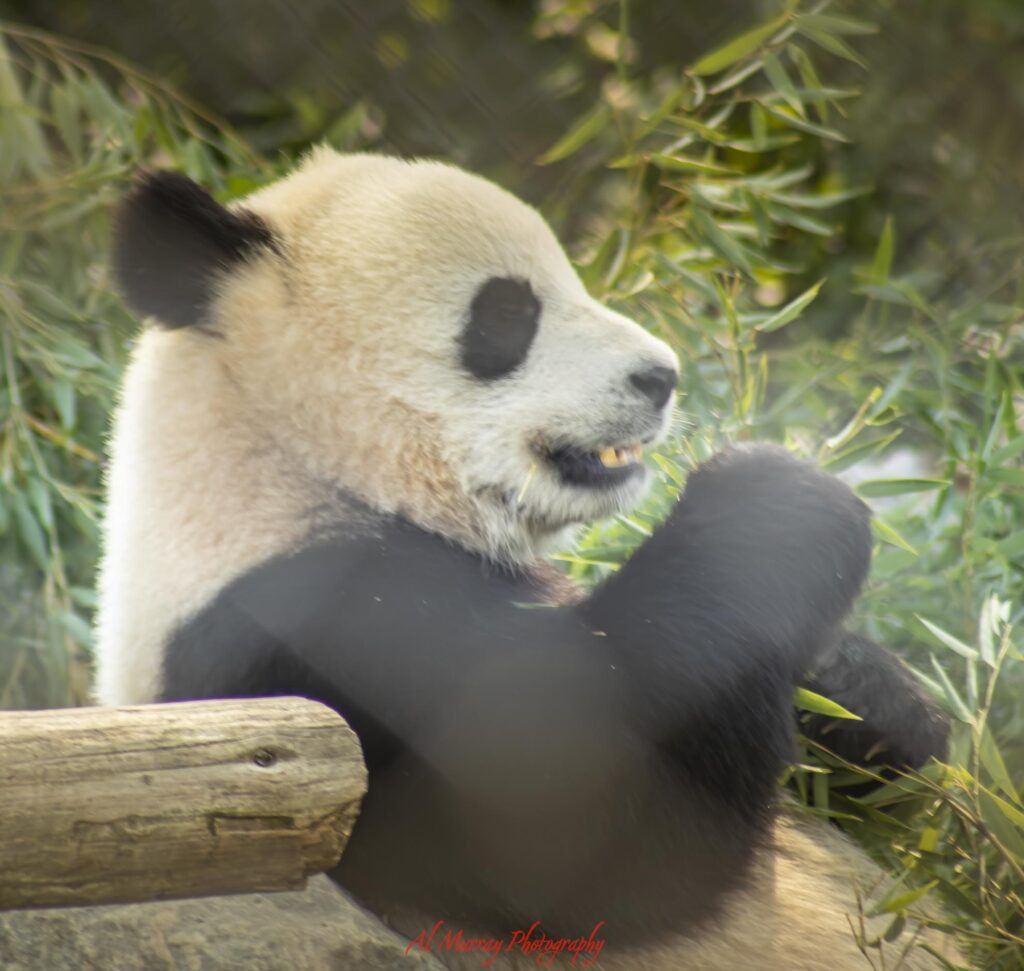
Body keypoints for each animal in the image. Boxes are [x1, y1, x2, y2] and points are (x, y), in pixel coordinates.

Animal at [95, 148, 952, 971]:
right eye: (507, 313)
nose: (660, 376)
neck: (290, 463)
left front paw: (858, 686)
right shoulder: (309, 642)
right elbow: (577, 819)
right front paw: (778, 497)